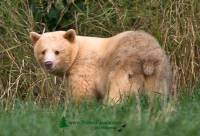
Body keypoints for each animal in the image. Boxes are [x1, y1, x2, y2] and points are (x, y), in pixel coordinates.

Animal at [29, 29, 172, 103]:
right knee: (157, 94)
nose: (48, 63)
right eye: (43, 51)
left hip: (123, 67)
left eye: (57, 51)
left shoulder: (84, 67)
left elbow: (82, 91)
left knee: (118, 91)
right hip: (158, 72)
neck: (77, 53)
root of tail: (147, 56)